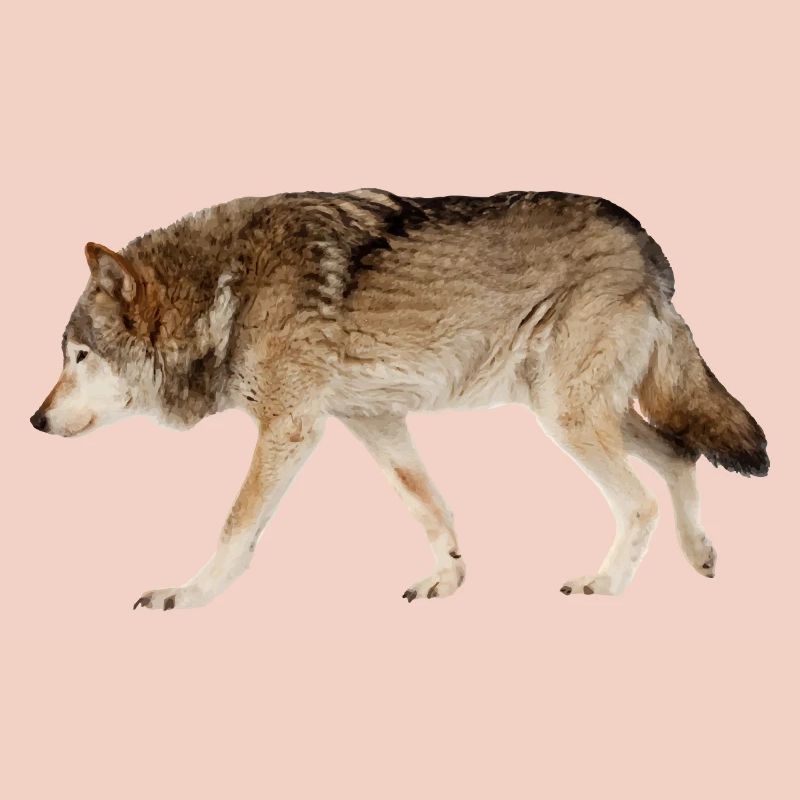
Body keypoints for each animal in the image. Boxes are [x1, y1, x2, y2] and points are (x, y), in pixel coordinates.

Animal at [30, 190, 769, 610]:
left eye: (78, 356)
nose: (34, 420)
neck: (226, 291)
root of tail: (648, 246)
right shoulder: (374, 421)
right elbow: (429, 507)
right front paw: (448, 579)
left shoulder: (290, 428)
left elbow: (235, 527)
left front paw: (187, 595)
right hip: (574, 410)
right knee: (678, 452)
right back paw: (700, 554)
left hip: (567, 415)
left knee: (641, 499)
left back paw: (606, 586)